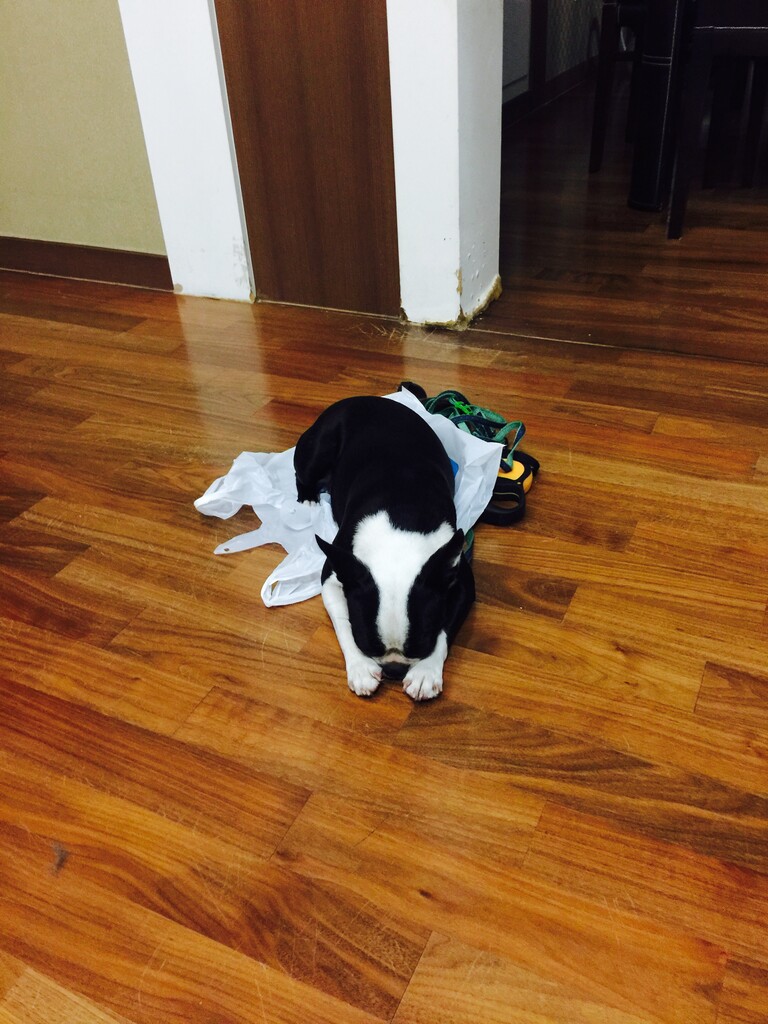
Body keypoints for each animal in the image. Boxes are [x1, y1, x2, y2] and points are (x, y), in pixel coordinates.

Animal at [294, 396, 474, 700]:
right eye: (367, 645)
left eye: (420, 646)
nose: (394, 669)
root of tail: (365, 398)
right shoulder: (334, 574)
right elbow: (343, 622)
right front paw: (360, 667)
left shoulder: (459, 581)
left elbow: (443, 629)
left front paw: (425, 672)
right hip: (317, 449)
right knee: (302, 472)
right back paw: (307, 499)